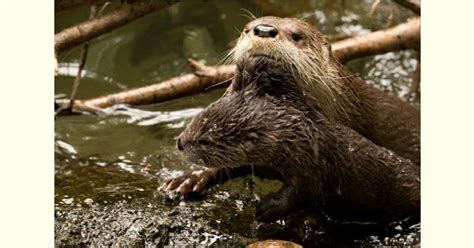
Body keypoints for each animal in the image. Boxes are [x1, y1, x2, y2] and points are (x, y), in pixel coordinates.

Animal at [175, 55, 418, 223]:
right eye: (196, 118)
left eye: (205, 140)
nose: (180, 142)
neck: (292, 139)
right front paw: (190, 179)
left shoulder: (311, 167)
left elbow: (299, 194)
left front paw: (267, 208)